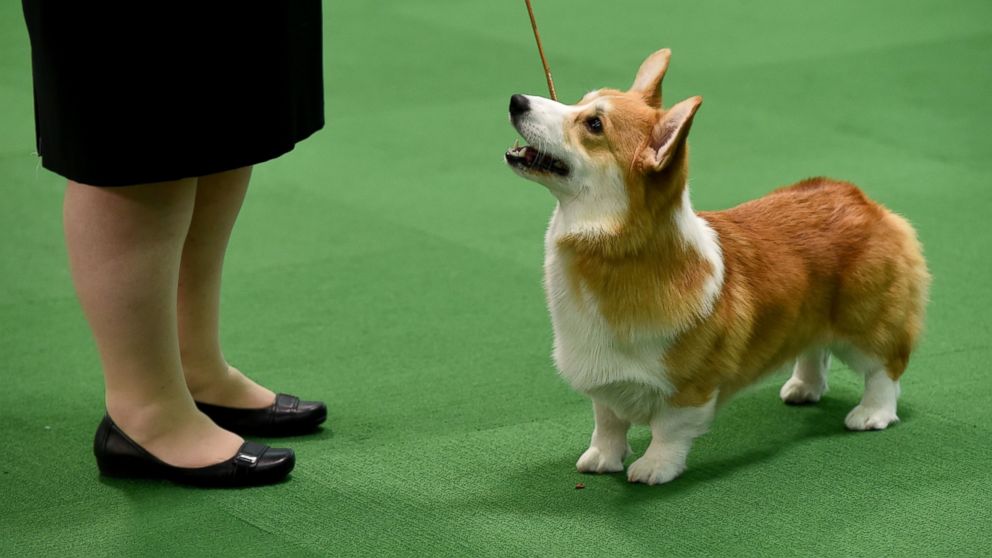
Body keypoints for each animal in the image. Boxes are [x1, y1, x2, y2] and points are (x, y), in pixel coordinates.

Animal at [504, 49, 928, 486]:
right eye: (580, 102)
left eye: (593, 124)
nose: (516, 101)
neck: (613, 250)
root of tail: (862, 200)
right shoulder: (605, 378)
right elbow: (607, 421)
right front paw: (602, 459)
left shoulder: (690, 386)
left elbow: (668, 430)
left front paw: (654, 468)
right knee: (814, 348)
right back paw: (803, 388)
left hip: (865, 322)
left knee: (886, 367)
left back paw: (872, 414)